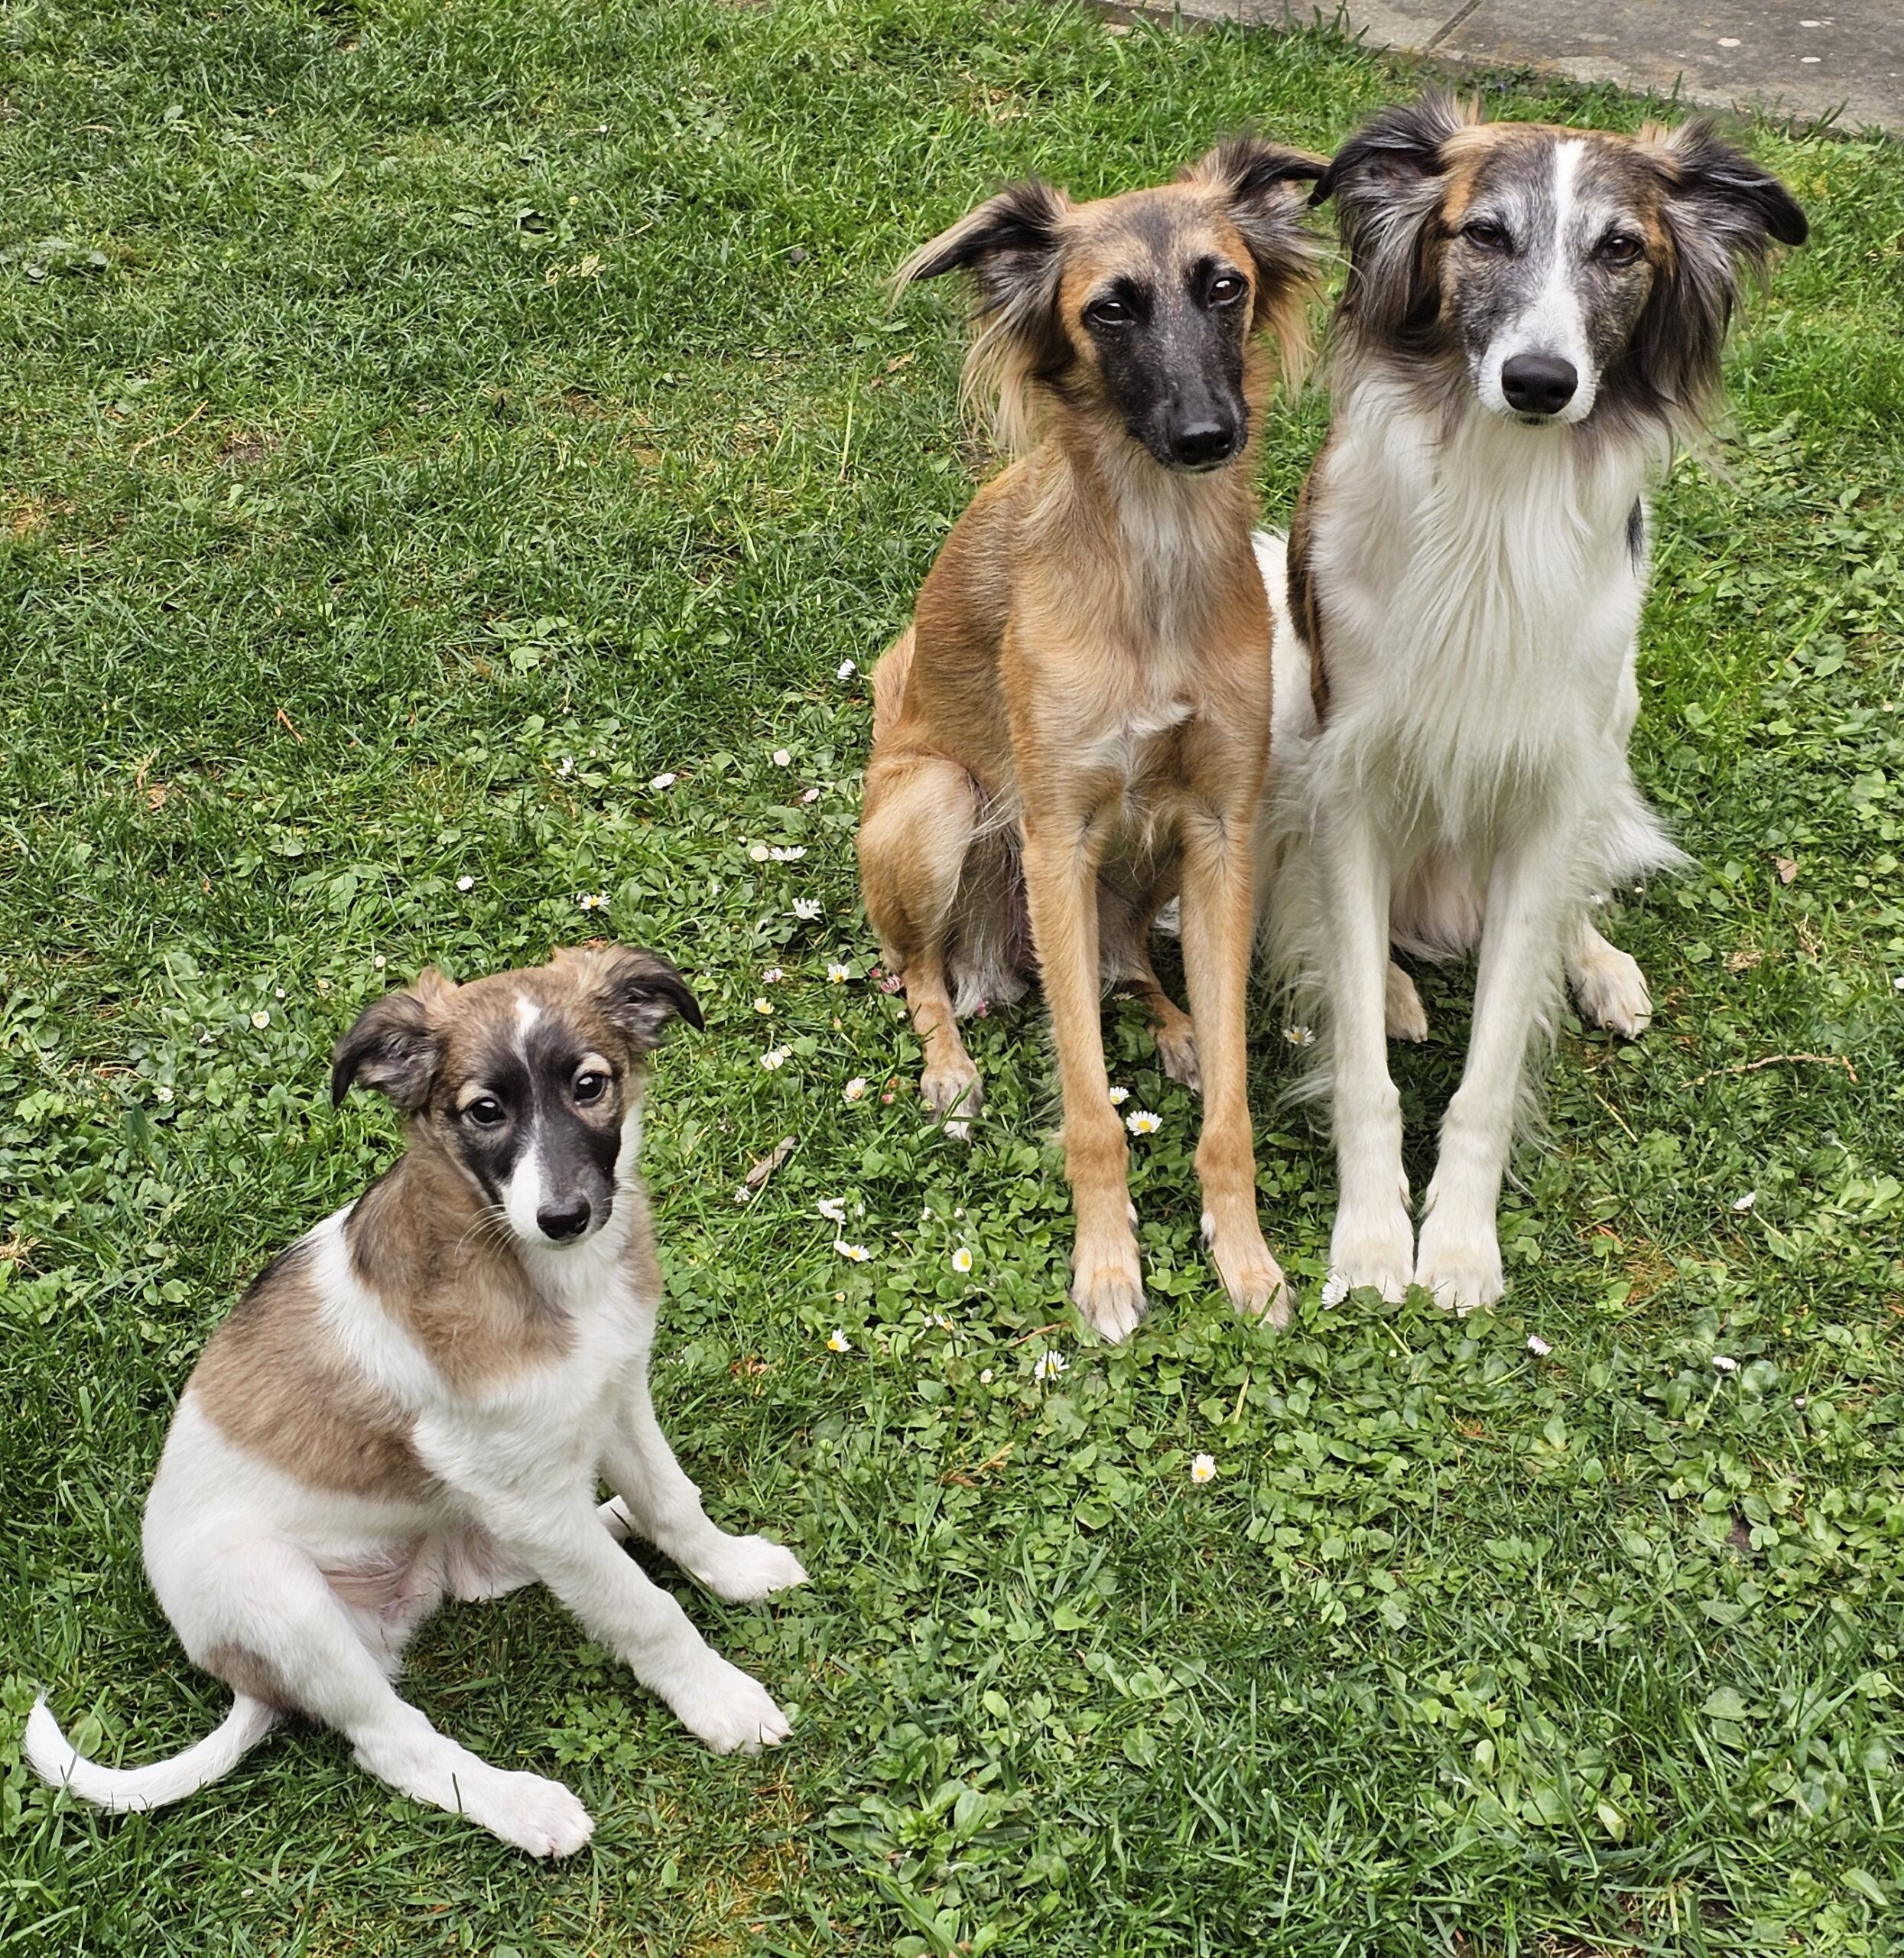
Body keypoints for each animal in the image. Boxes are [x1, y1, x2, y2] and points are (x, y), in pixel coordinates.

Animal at [26, 947, 806, 1856]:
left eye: (590, 1085)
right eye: (485, 1111)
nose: (565, 1216)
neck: (529, 1271)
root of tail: (246, 1676)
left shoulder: (615, 1393)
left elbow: (674, 1501)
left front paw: (732, 1567)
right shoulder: (517, 1486)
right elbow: (640, 1608)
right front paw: (719, 1699)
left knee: (503, 1568)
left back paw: (607, 1518)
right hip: (281, 1597)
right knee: (393, 1740)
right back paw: (524, 1805)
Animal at [857, 137, 1324, 1341]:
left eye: (1225, 286)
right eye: (1109, 308)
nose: (1209, 434)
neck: (1151, 559)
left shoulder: (1218, 829)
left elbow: (1232, 1112)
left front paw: (1244, 1258)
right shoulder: (1056, 841)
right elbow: (1087, 1109)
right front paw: (1109, 1267)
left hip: (1151, 856)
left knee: (1129, 965)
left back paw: (1172, 1024)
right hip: (939, 808)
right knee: (918, 972)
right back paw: (950, 1066)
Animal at [1254, 98, 1805, 1310]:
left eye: (1621, 250)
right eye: (1485, 234)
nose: (1540, 382)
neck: (1497, 507)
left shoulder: (1551, 787)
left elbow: (1494, 1068)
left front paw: (1458, 1246)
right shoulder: (1350, 777)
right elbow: (1363, 1068)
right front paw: (1372, 1242)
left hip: (1615, 719)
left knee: (1569, 895)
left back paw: (1595, 963)